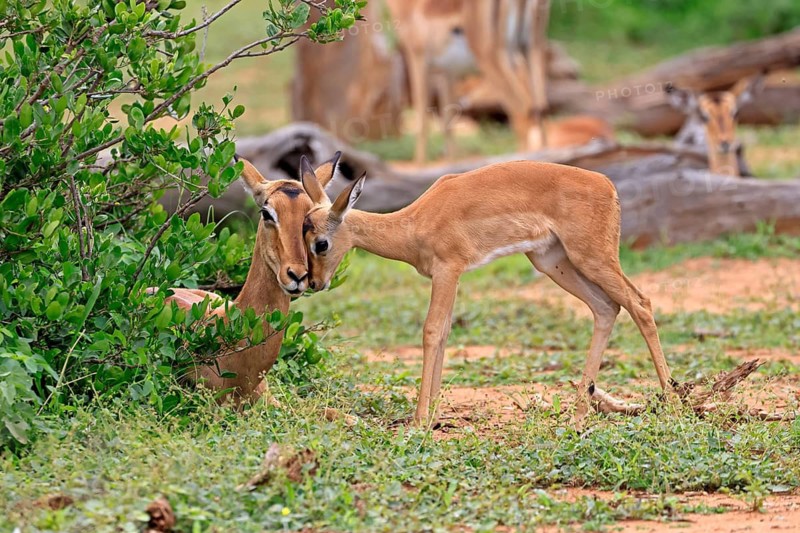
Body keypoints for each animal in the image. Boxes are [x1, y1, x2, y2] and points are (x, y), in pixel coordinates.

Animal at [299, 155, 675, 428]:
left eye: (321, 243)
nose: (312, 283)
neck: (415, 223)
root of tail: (608, 185)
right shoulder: (452, 277)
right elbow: (445, 333)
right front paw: (433, 416)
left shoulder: (447, 271)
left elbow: (431, 332)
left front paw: (419, 421)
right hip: (553, 262)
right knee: (606, 308)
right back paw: (579, 414)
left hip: (592, 258)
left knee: (640, 302)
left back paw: (672, 401)